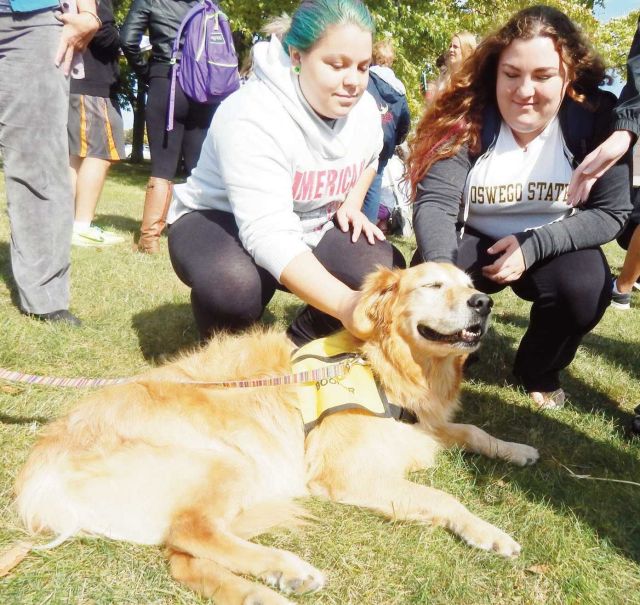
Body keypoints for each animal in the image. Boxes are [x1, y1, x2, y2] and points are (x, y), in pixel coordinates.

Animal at [13, 264, 540, 604]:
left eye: (471, 286)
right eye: (433, 285)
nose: (484, 302)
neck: (381, 364)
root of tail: (41, 473)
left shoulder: (422, 425)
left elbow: (473, 429)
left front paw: (517, 450)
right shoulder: (347, 474)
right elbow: (443, 498)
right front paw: (489, 532)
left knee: (182, 558)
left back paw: (261, 594)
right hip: (226, 459)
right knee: (193, 532)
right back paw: (287, 567)